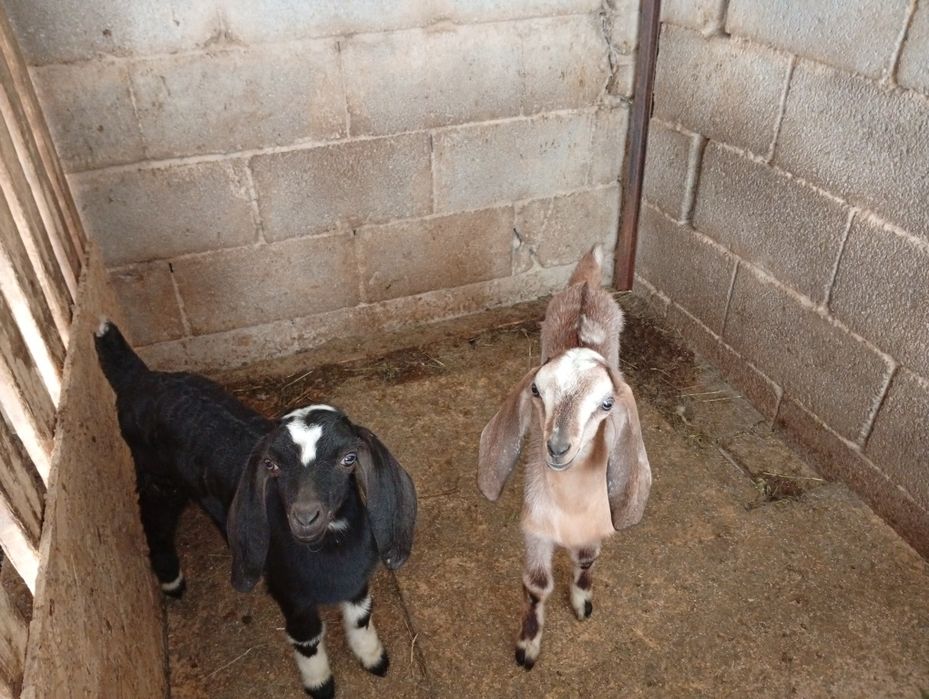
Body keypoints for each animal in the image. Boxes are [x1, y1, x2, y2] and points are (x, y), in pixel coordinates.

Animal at [94, 321, 416, 698]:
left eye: (349, 458)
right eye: (271, 465)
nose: (305, 517)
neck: (330, 553)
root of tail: (140, 377)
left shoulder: (356, 581)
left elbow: (361, 617)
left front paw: (374, 659)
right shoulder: (290, 591)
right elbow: (307, 638)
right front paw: (320, 684)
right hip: (157, 477)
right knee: (155, 522)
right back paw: (172, 582)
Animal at [478, 245, 651, 670]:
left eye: (607, 403)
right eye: (536, 391)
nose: (556, 447)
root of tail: (586, 285)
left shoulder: (595, 521)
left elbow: (586, 559)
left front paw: (582, 602)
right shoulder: (536, 527)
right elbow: (536, 585)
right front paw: (527, 647)